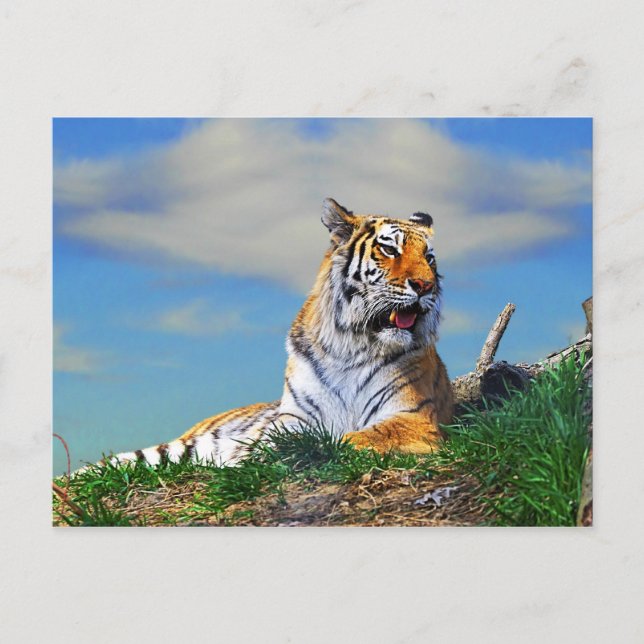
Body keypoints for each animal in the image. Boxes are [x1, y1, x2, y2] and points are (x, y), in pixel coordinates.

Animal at [91, 198, 454, 470]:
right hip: (168, 450)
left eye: (429, 259)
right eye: (390, 250)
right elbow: (278, 441)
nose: (426, 286)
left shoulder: (412, 417)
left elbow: (356, 437)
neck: (353, 344)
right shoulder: (294, 417)